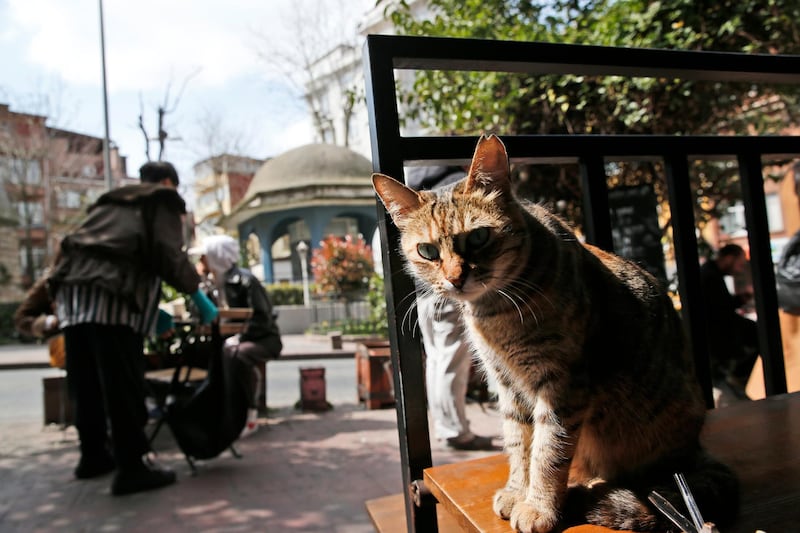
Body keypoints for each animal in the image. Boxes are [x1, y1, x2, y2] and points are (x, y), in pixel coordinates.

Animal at [374, 135, 736, 528]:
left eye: (479, 237)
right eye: (427, 251)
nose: (455, 279)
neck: (494, 314)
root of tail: (696, 448)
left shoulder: (562, 384)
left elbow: (548, 451)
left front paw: (538, 506)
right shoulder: (508, 385)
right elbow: (519, 444)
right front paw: (517, 492)